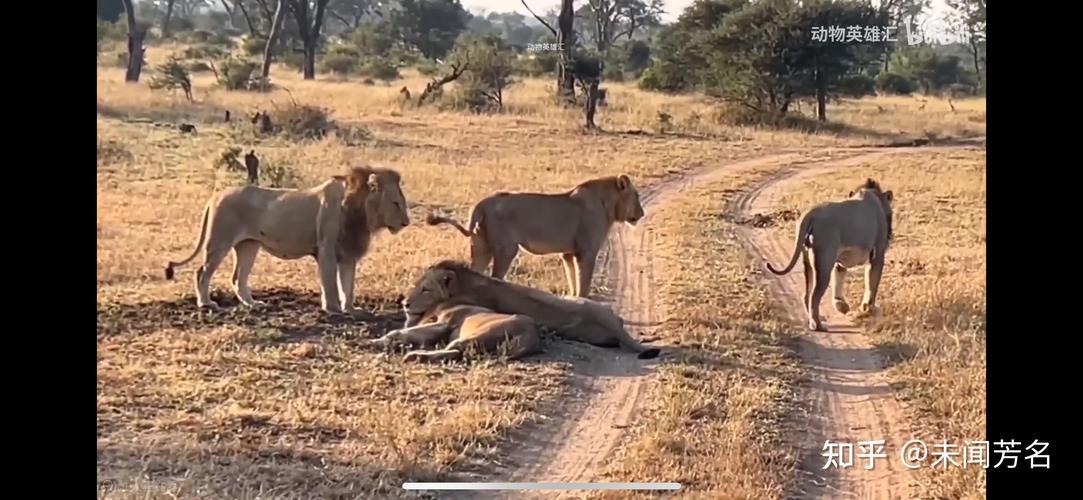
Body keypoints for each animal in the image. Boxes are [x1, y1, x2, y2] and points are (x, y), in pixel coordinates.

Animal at [161, 165, 409, 311]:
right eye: (396, 203)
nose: (407, 222)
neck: (360, 212)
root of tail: (215, 196)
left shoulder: (348, 254)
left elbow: (348, 285)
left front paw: (350, 309)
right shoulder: (326, 250)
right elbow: (330, 283)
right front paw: (332, 310)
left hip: (248, 246)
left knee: (238, 278)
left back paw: (253, 304)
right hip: (219, 242)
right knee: (202, 272)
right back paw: (206, 303)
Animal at [370, 300, 541, 363]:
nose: (405, 303)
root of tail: (532, 335)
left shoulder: (443, 324)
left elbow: (398, 332)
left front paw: (377, 342)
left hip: (476, 336)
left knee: (454, 351)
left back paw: (415, 355)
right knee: (455, 353)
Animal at [422, 174, 641, 296]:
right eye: (637, 196)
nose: (642, 213)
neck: (608, 205)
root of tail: (481, 203)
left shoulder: (568, 253)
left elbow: (572, 278)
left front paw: (573, 297)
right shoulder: (586, 252)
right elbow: (584, 280)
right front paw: (584, 298)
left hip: (481, 246)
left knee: (475, 270)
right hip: (506, 249)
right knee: (496, 276)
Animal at [771, 177, 896, 329]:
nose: (891, 233)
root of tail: (811, 213)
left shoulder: (839, 261)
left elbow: (838, 280)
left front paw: (841, 305)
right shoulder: (877, 255)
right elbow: (872, 283)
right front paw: (868, 308)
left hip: (807, 261)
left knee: (806, 294)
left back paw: (816, 320)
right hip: (824, 261)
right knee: (814, 296)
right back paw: (818, 325)